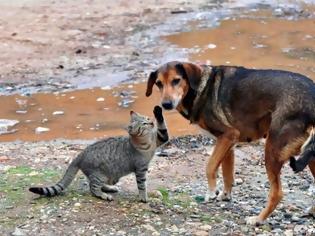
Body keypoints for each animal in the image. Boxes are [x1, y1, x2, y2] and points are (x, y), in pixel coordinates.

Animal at [28, 106, 169, 202]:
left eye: (148, 119)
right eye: (144, 123)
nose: (151, 122)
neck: (146, 142)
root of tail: (81, 154)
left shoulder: (161, 138)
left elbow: (163, 127)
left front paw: (158, 110)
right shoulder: (140, 169)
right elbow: (142, 185)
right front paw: (143, 197)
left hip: (106, 176)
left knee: (97, 185)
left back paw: (110, 189)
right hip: (99, 175)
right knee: (93, 188)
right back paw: (104, 195)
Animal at [147, 60, 315, 225]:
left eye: (176, 80)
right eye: (159, 83)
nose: (166, 104)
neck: (200, 87)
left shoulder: (228, 135)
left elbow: (210, 166)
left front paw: (212, 192)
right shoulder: (228, 143)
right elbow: (227, 173)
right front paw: (225, 195)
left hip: (272, 151)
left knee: (277, 193)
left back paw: (258, 219)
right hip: (310, 156)